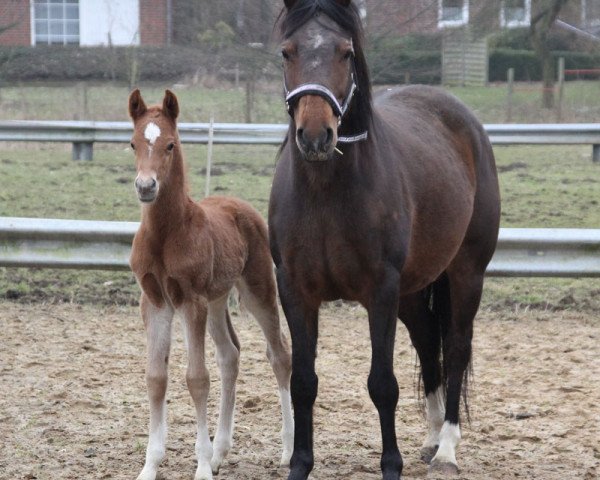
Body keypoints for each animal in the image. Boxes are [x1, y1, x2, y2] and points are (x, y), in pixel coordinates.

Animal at [128, 90, 292, 480]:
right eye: (133, 143)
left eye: (170, 144)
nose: (146, 186)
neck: (166, 234)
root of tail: (239, 204)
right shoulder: (155, 302)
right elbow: (156, 378)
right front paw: (150, 465)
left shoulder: (191, 301)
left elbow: (197, 378)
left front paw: (201, 466)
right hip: (218, 300)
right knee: (230, 355)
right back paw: (221, 452)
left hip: (257, 290)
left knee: (280, 354)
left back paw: (288, 450)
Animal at [268, 1, 502, 478]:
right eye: (287, 52)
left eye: (345, 52)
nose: (316, 136)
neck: (325, 191)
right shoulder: (295, 290)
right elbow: (303, 382)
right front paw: (300, 464)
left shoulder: (380, 291)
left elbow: (382, 384)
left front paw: (390, 465)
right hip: (412, 291)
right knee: (429, 344)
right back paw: (432, 439)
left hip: (466, 273)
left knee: (456, 346)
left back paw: (447, 448)